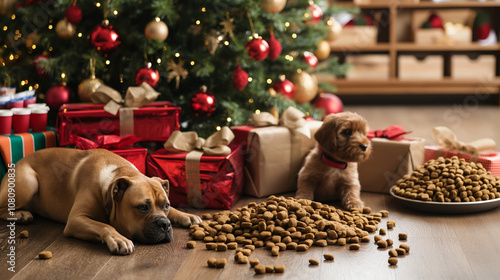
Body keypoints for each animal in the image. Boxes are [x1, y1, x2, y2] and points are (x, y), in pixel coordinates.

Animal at [0, 148, 203, 255]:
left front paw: (185, 215)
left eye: (166, 205)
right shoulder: (76, 219)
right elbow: (104, 226)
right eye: (143, 207)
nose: (165, 224)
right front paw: (119, 238)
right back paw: (21, 214)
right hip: (29, 182)